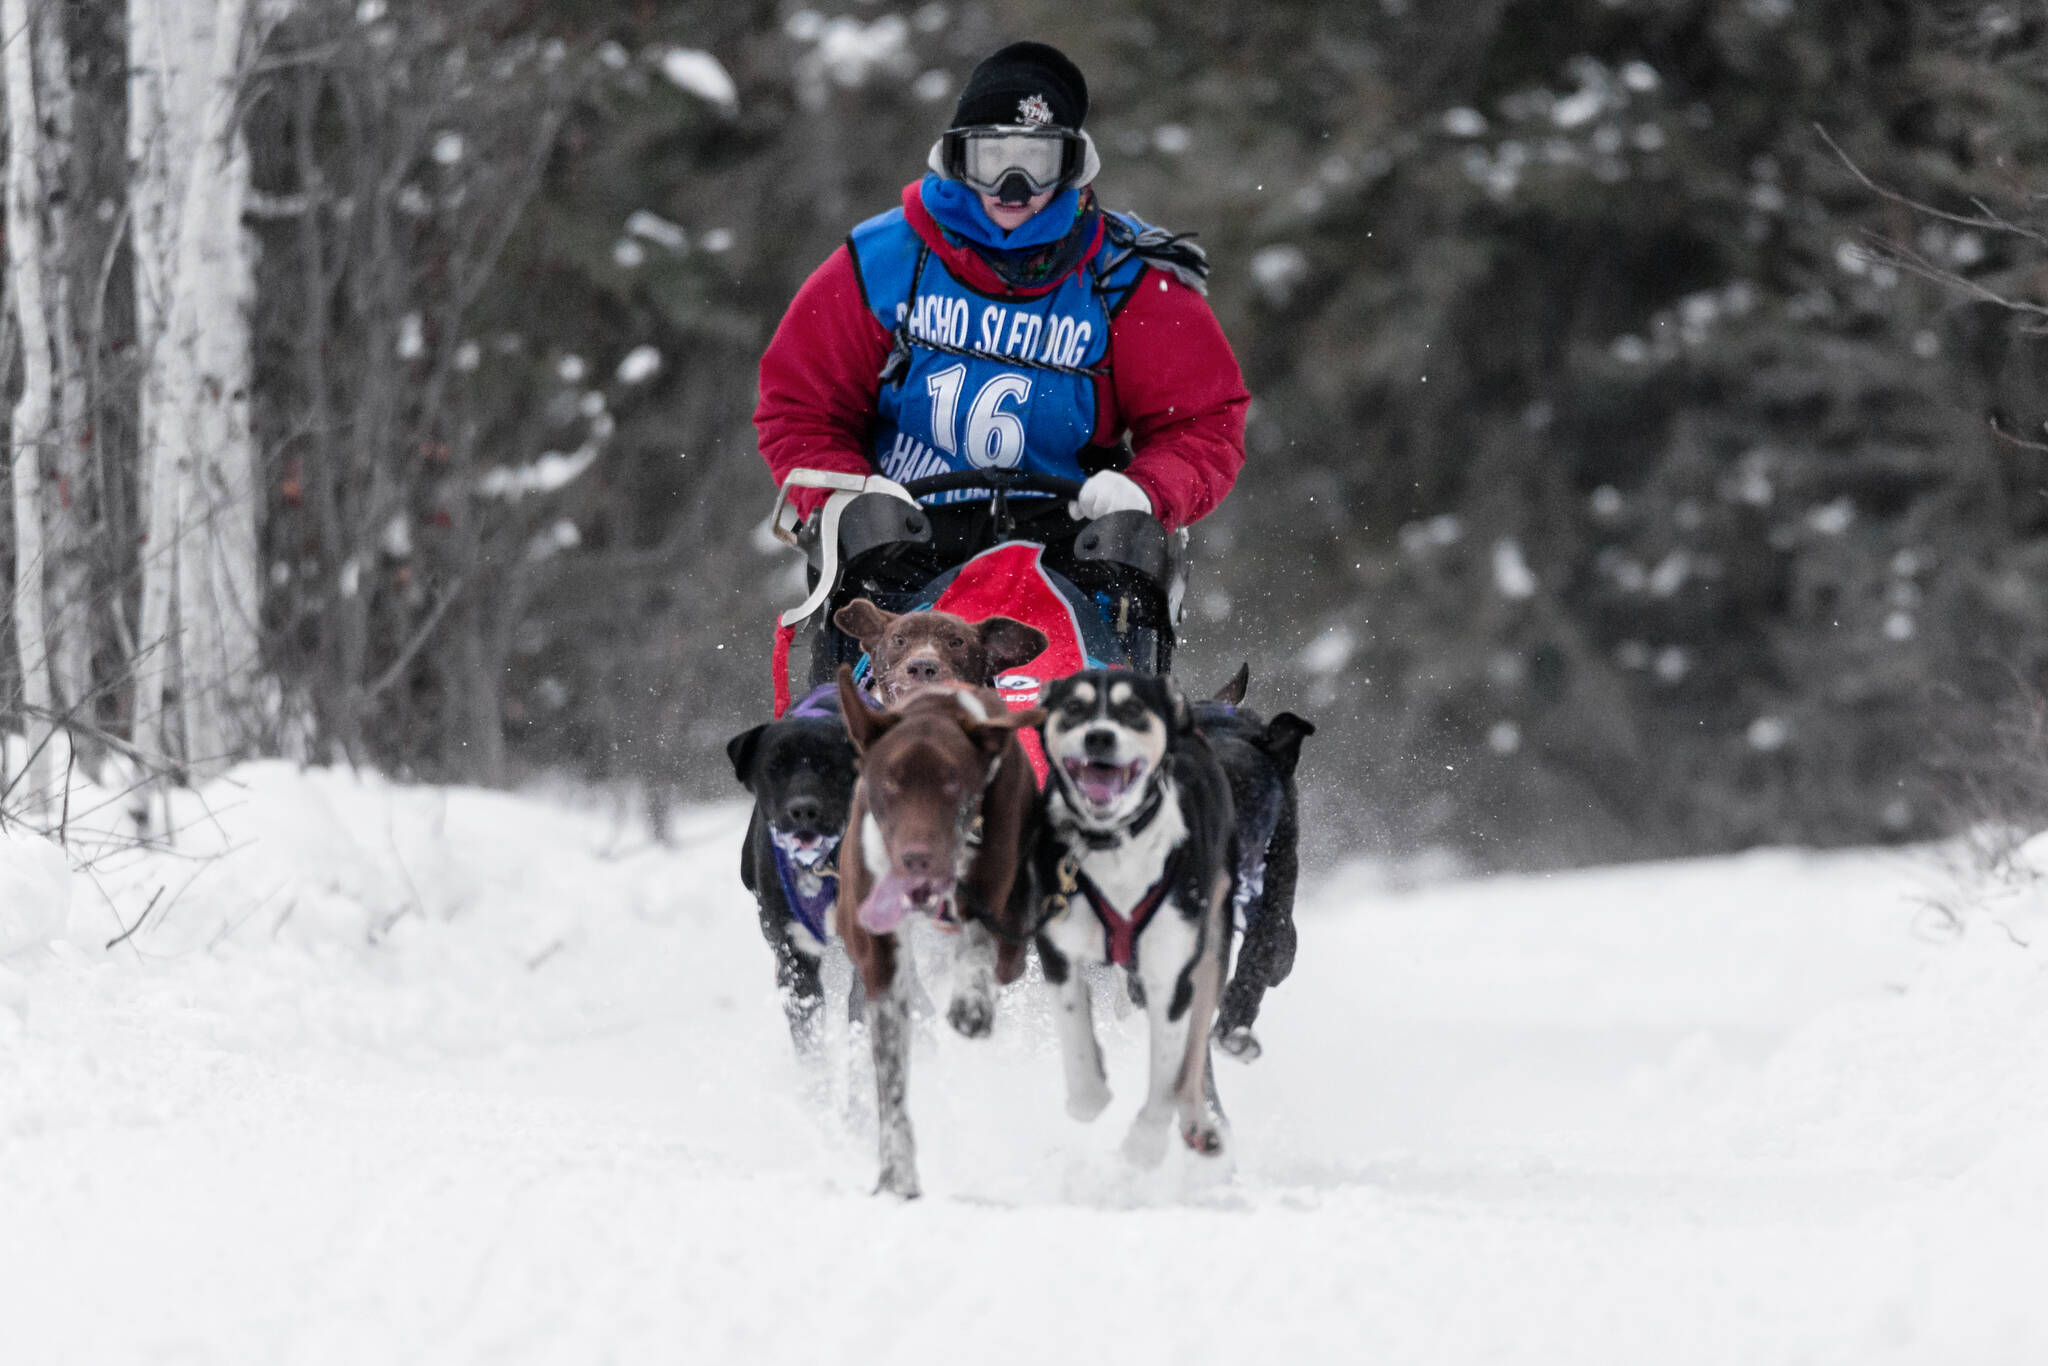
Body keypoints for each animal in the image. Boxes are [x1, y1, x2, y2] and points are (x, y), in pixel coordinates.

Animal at [831, 667, 1040, 1204]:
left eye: (951, 783)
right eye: (890, 782)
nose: (917, 858)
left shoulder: (989, 884)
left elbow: (977, 942)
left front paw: (970, 1002)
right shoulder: (878, 955)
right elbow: (891, 1077)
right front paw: (896, 1173)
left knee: (1006, 955)